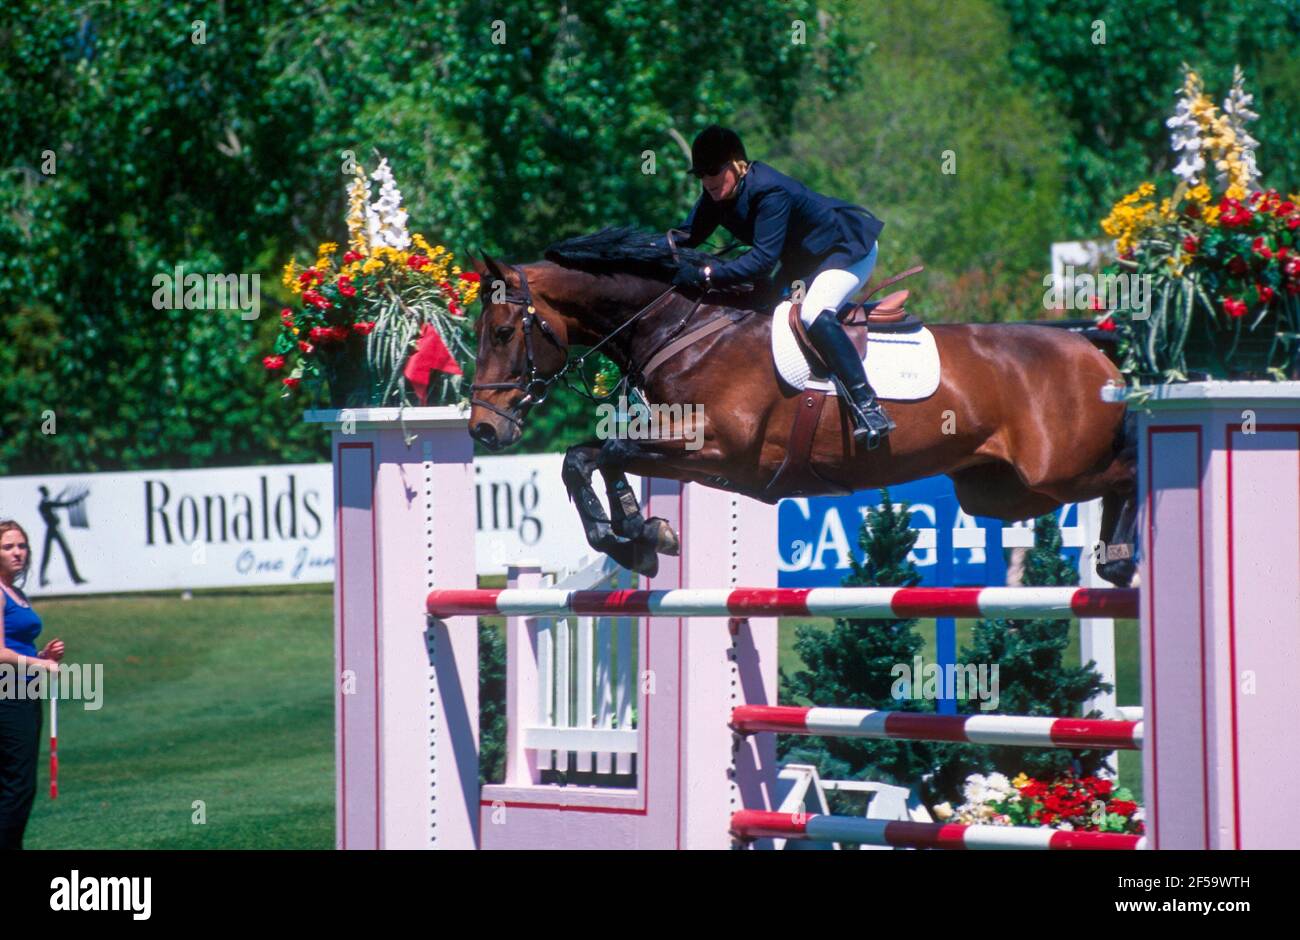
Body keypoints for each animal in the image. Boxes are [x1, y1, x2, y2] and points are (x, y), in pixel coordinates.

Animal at [470, 230, 1138, 579]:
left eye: (501, 334)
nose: (483, 431)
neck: (684, 327)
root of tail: (1091, 347)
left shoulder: (718, 447)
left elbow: (601, 453)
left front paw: (638, 531)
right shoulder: (682, 445)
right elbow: (586, 457)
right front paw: (634, 536)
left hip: (1058, 469)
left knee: (1130, 467)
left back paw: (1121, 556)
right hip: (999, 491)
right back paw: (1115, 559)